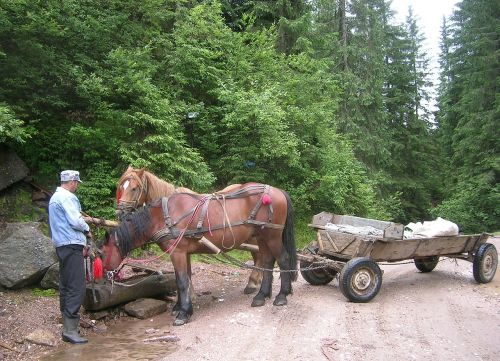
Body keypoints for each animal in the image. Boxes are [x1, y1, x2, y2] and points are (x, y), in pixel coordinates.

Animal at [101, 183, 296, 324]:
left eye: (101, 253)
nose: (105, 275)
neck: (163, 216)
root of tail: (277, 191)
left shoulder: (178, 252)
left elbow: (181, 281)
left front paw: (183, 313)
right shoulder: (183, 253)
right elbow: (184, 278)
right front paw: (180, 307)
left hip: (272, 236)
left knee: (283, 259)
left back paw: (281, 296)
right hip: (262, 237)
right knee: (268, 261)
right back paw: (261, 296)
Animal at [115, 166, 264, 292]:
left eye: (134, 188)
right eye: (121, 187)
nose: (119, 212)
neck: (168, 209)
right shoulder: (184, 249)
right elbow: (187, 272)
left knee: (259, 256)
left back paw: (253, 283)